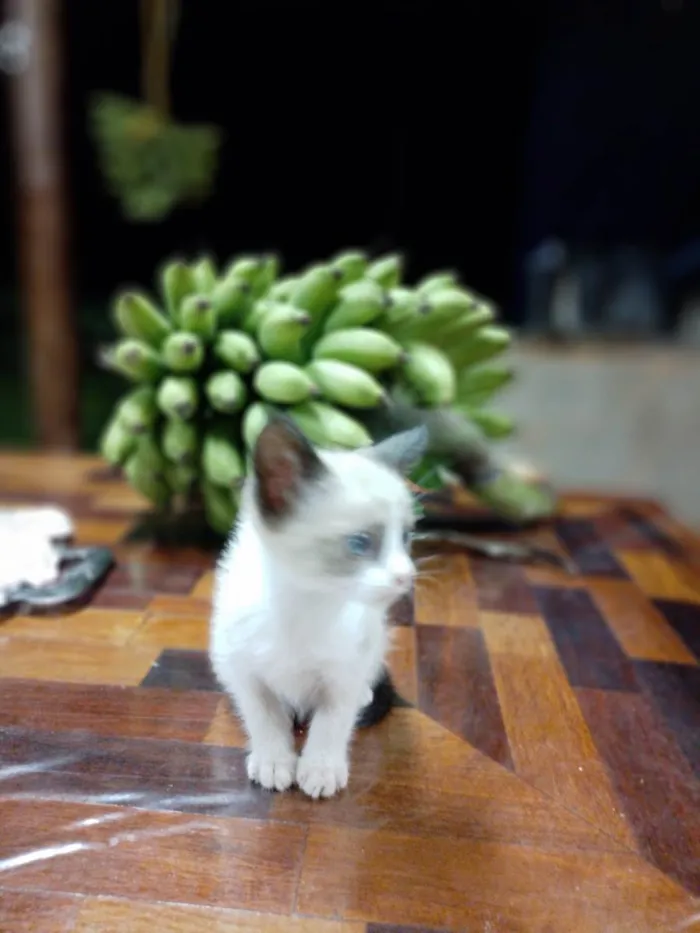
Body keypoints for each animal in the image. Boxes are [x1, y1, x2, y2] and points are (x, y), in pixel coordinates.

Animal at [208, 418, 426, 796]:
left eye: (406, 538)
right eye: (360, 543)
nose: (405, 576)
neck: (307, 604)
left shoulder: (345, 669)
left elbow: (333, 720)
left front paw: (321, 768)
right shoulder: (239, 664)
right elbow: (263, 714)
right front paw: (274, 760)